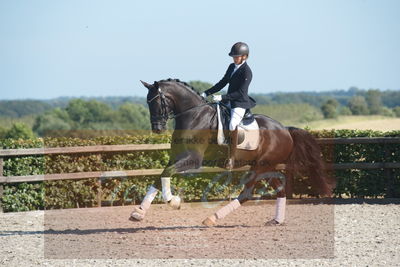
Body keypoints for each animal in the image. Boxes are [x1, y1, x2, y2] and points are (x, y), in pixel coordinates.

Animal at [129, 79, 332, 226]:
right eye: (148, 103)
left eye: (158, 102)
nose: (157, 129)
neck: (194, 116)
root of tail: (285, 129)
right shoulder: (176, 157)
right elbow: (160, 176)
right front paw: (138, 212)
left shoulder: (193, 159)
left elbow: (167, 174)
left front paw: (174, 202)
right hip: (266, 167)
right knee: (279, 189)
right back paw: (276, 221)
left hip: (260, 166)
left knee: (247, 193)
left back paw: (212, 218)